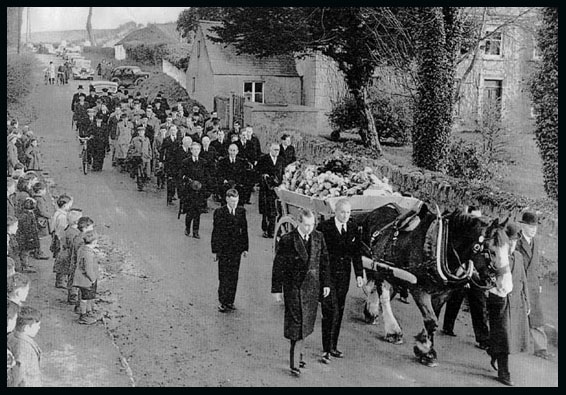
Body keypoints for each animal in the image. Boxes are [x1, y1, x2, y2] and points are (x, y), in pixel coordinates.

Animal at [360, 204, 516, 368]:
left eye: (509, 251)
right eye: (491, 251)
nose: (506, 285)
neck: (441, 246)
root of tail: (378, 209)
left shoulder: (443, 292)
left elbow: (433, 315)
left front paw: (423, 345)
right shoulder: (418, 288)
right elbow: (431, 320)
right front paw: (427, 352)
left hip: (387, 269)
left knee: (379, 289)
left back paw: (371, 311)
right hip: (378, 265)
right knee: (382, 294)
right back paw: (392, 330)